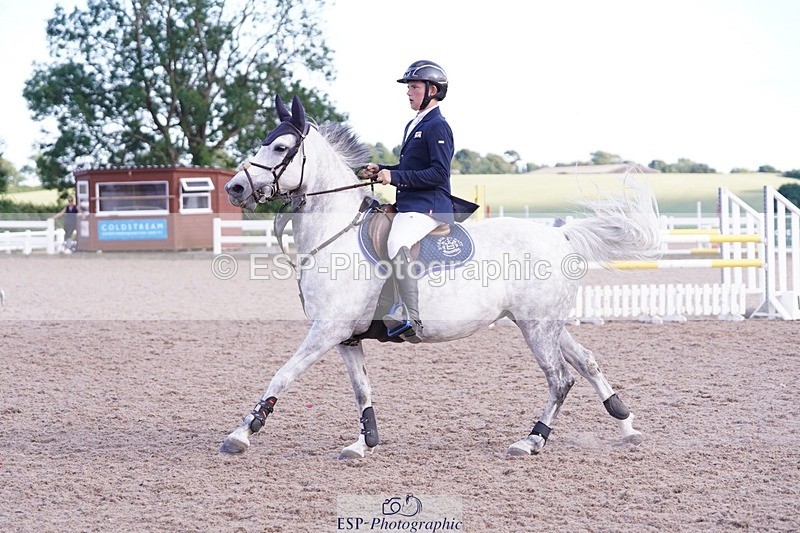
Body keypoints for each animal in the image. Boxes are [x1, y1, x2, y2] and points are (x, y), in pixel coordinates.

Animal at [220, 94, 661, 458]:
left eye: (280, 147)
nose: (235, 188)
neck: (335, 231)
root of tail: (559, 234)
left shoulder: (328, 328)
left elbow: (282, 375)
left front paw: (243, 432)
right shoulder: (346, 337)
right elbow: (361, 389)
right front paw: (364, 442)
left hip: (537, 327)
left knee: (560, 378)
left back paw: (532, 439)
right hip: (544, 323)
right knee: (585, 362)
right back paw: (626, 425)